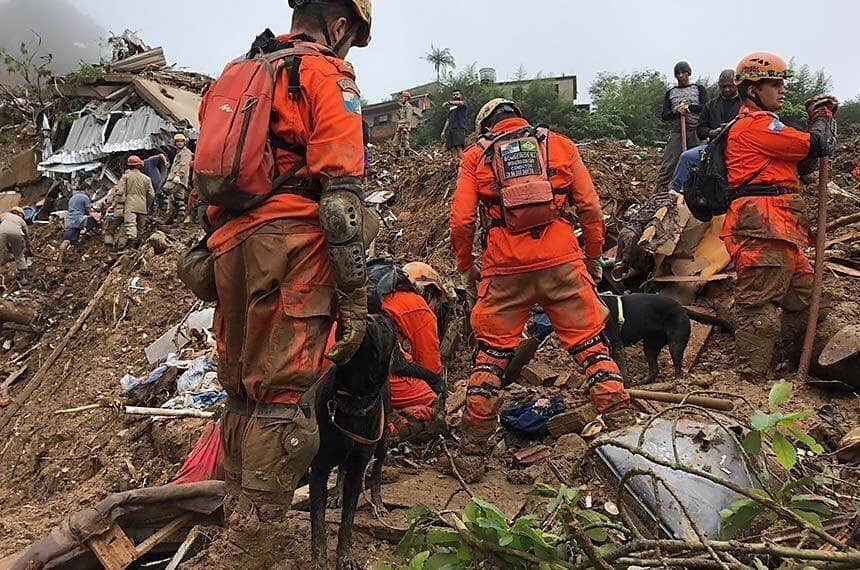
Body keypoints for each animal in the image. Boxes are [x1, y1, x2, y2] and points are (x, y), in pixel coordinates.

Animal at [310, 316, 396, 568]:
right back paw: (336, 493)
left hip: (383, 440)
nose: (367, 317)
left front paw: (345, 556)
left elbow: (347, 521)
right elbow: (317, 522)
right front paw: (320, 560)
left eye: (385, 325)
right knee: (341, 468)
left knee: (376, 470)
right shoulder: (318, 468)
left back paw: (378, 503)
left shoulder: (358, 469)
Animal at [600, 292, 736, 382]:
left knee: (678, 368)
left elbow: (621, 369)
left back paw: (676, 383)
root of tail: (682, 308)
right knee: (655, 370)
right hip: (651, 344)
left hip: (675, 343)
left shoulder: (616, 345)